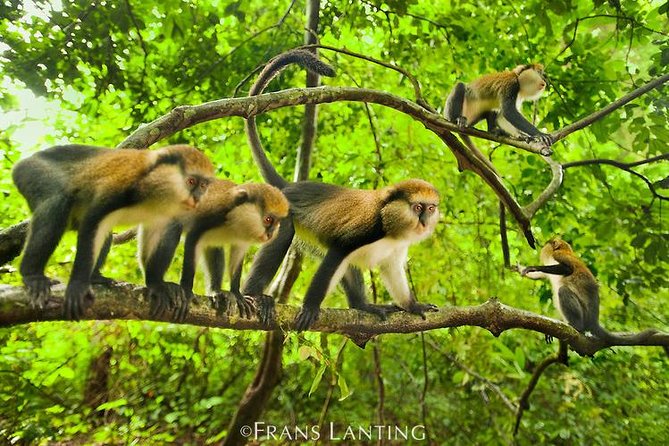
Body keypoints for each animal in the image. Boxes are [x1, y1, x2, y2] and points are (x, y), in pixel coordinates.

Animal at [12, 143, 215, 320]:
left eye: (203, 186)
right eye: (191, 181)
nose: (197, 198)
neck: (156, 189)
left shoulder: (168, 214)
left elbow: (164, 231)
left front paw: (156, 284)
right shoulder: (119, 186)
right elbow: (94, 221)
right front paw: (78, 285)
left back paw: (95, 277)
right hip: (32, 171)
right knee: (56, 203)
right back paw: (33, 275)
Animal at [138, 179, 289, 321]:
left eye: (277, 223)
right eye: (268, 219)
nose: (270, 234)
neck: (236, 218)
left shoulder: (242, 239)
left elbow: (237, 255)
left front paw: (236, 293)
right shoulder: (213, 216)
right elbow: (193, 238)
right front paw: (186, 290)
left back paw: (216, 291)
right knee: (173, 228)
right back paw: (154, 282)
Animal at [242, 49, 440, 331]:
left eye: (431, 208)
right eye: (418, 207)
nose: (423, 220)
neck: (391, 226)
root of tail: (289, 187)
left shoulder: (397, 248)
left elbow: (390, 270)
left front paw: (413, 305)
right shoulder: (367, 229)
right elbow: (337, 254)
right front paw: (310, 307)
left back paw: (362, 306)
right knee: (286, 234)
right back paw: (254, 295)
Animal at [520, 237, 659, 344]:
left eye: (548, 243)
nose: (542, 245)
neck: (564, 250)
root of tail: (593, 321)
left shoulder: (559, 255)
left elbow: (568, 269)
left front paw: (532, 268)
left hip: (584, 314)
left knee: (563, 290)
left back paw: (576, 326)